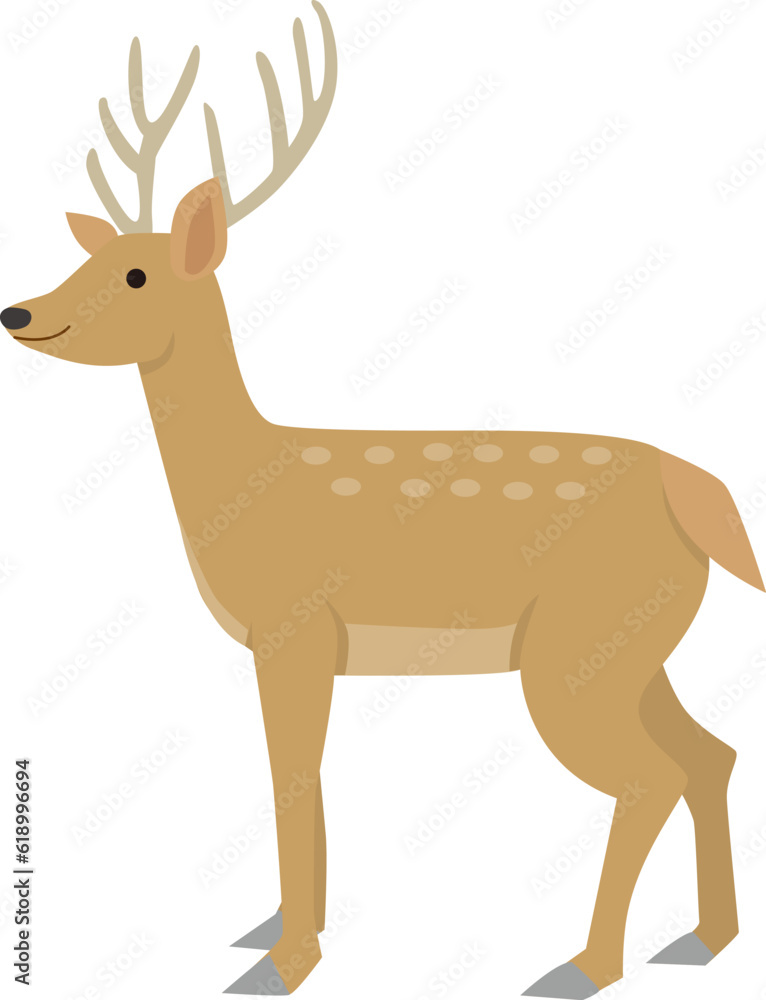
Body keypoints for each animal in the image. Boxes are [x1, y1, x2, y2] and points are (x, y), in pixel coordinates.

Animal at [2, 3, 762, 996]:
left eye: (136, 275)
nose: (16, 312)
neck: (248, 482)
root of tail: (696, 488)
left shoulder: (293, 628)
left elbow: (292, 776)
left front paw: (284, 961)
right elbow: (300, 777)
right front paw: (276, 930)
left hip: (574, 650)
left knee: (649, 777)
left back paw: (583, 965)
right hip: (633, 642)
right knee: (710, 754)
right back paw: (705, 939)